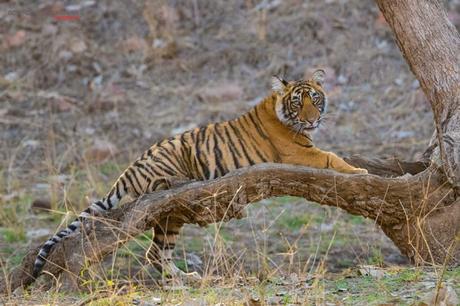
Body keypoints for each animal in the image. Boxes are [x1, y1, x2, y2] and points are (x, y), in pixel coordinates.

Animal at [32, 69, 368, 282]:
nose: (312, 120)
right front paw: (359, 170)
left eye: (316, 98)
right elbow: (331, 156)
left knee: (156, 253)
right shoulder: (299, 153)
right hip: (166, 161)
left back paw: (184, 279)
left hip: (171, 219)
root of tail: (127, 172)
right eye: (298, 101)